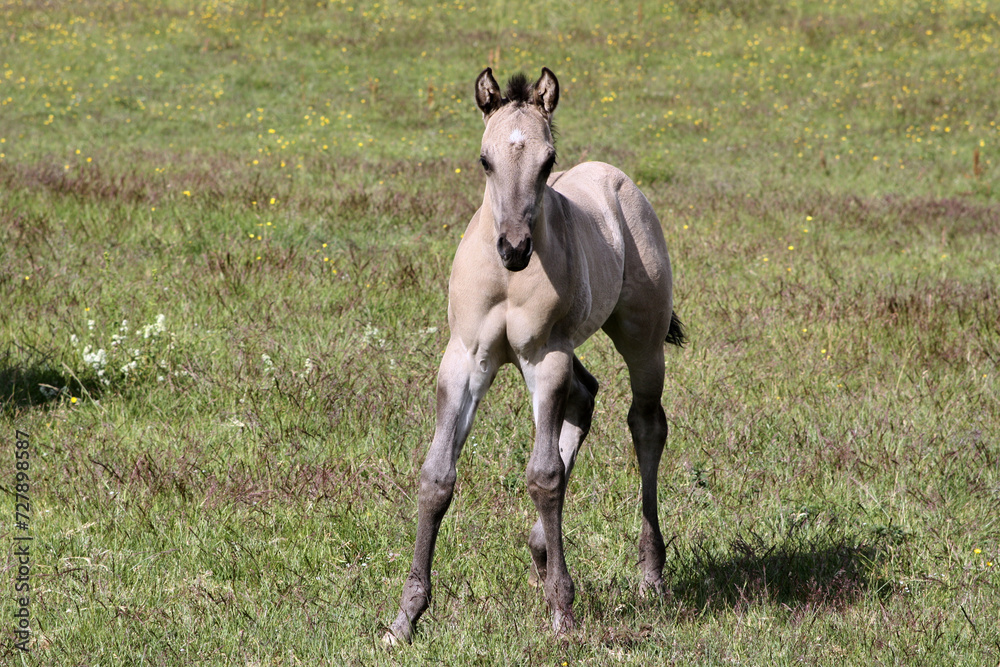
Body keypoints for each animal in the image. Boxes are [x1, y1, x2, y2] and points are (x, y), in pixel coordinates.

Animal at [384, 67, 685, 644]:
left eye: (547, 161)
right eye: (484, 159)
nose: (515, 248)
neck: (506, 279)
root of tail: (615, 178)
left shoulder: (544, 358)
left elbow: (543, 477)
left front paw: (562, 612)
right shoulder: (464, 360)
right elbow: (436, 477)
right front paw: (405, 616)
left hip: (640, 338)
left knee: (646, 424)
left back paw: (650, 575)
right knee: (586, 395)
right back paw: (542, 550)